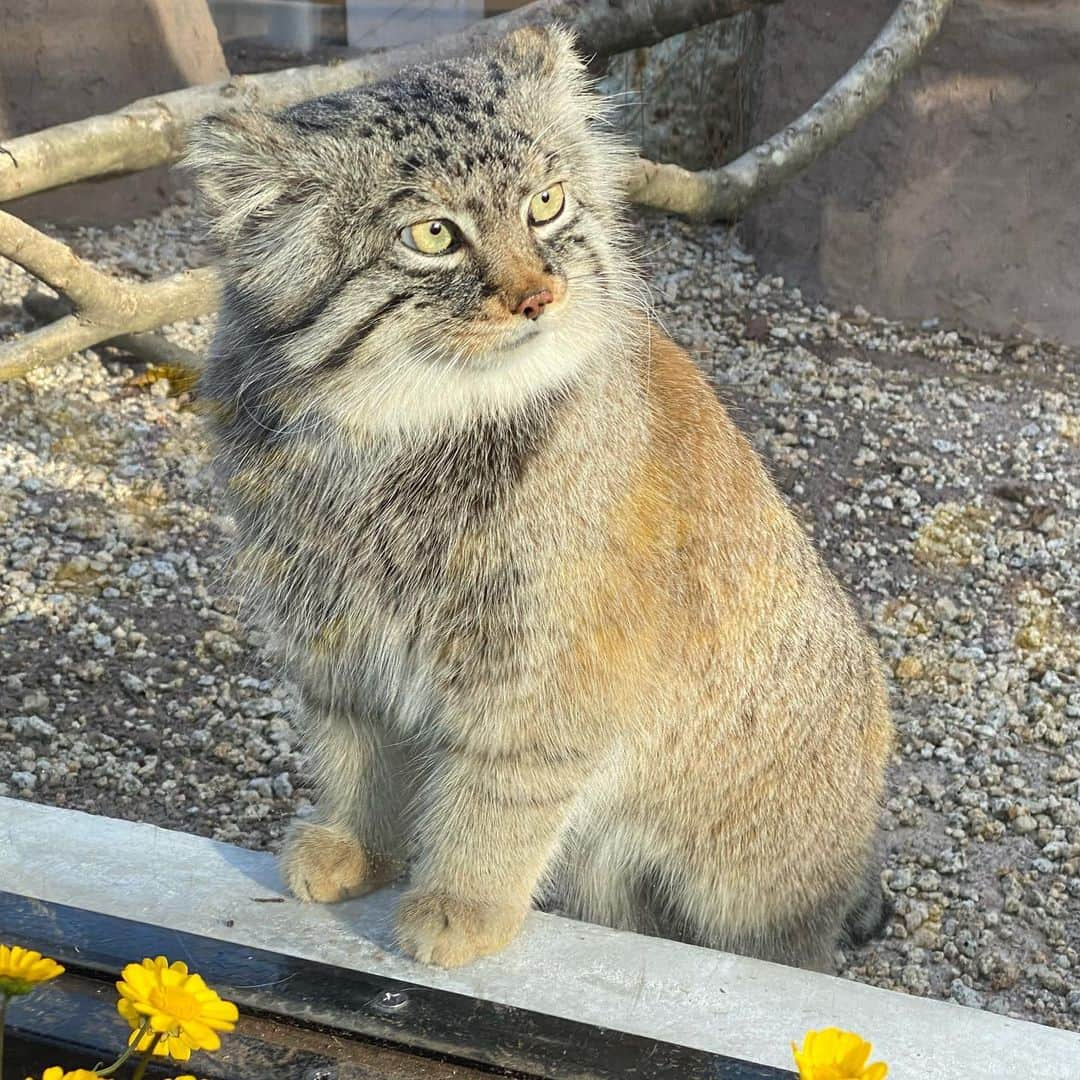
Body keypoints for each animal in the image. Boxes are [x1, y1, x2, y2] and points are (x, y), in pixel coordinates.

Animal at [187, 25, 894, 972]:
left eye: (547, 205)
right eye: (434, 234)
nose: (539, 295)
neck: (395, 442)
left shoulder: (547, 668)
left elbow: (499, 790)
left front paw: (464, 901)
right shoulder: (335, 638)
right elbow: (354, 753)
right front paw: (358, 846)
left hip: (752, 891)